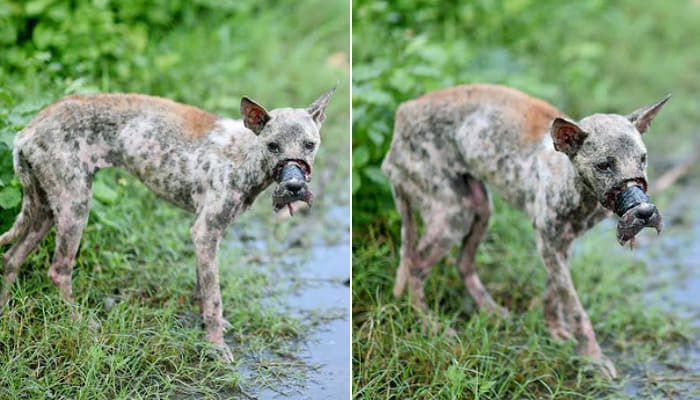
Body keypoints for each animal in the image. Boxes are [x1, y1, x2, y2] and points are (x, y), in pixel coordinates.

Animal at [0, 88, 334, 362]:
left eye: (310, 145)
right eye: (273, 146)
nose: (294, 186)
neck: (245, 154)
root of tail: (26, 131)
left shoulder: (206, 235)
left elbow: (202, 288)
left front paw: (207, 327)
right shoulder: (206, 232)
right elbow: (214, 298)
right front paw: (216, 347)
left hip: (46, 210)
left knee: (11, 258)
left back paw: (5, 312)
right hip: (74, 207)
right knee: (58, 271)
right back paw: (81, 322)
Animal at [380, 84, 668, 378]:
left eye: (643, 159)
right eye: (604, 166)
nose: (644, 212)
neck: (574, 184)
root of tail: (402, 113)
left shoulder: (561, 245)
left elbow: (554, 293)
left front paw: (556, 332)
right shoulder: (548, 244)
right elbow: (575, 308)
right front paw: (592, 359)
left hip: (480, 208)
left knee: (462, 263)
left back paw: (492, 311)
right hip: (453, 215)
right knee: (415, 266)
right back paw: (429, 324)